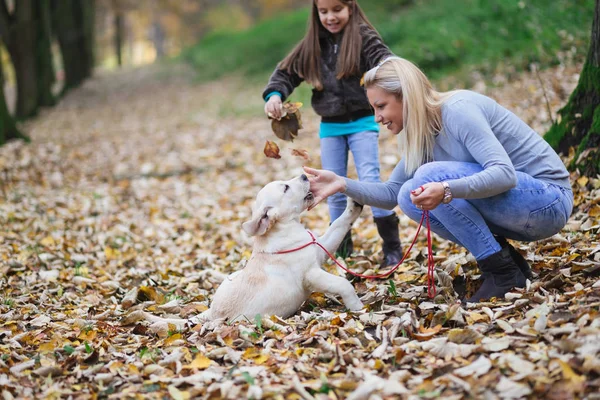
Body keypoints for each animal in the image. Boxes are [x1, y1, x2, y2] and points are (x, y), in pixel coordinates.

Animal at [199, 174, 364, 322]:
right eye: (286, 187)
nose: (304, 176)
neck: (288, 226)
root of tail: (212, 313)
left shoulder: (322, 248)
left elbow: (339, 224)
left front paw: (353, 205)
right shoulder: (311, 274)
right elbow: (343, 284)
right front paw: (357, 307)